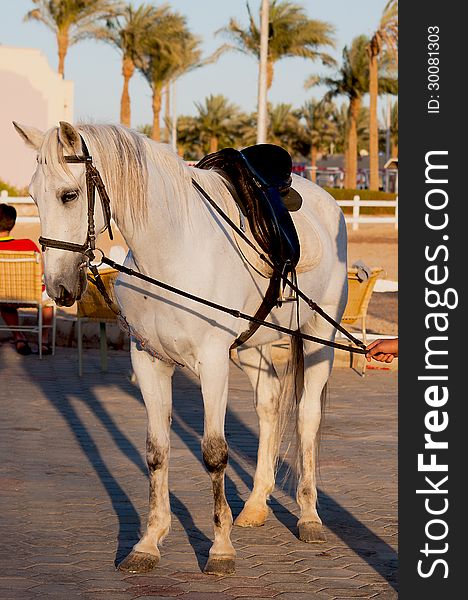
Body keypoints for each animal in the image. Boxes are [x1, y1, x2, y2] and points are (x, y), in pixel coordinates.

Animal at [14, 122, 348, 576]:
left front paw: (220, 548)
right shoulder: (149, 361)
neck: (171, 253)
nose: (59, 287)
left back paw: (309, 516)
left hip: (319, 338)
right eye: (32, 195)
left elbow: (214, 453)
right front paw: (149, 541)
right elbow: (156, 452)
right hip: (251, 347)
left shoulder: (212, 364)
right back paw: (256, 505)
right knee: (269, 405)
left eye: (69, 195)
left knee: (307, 417)